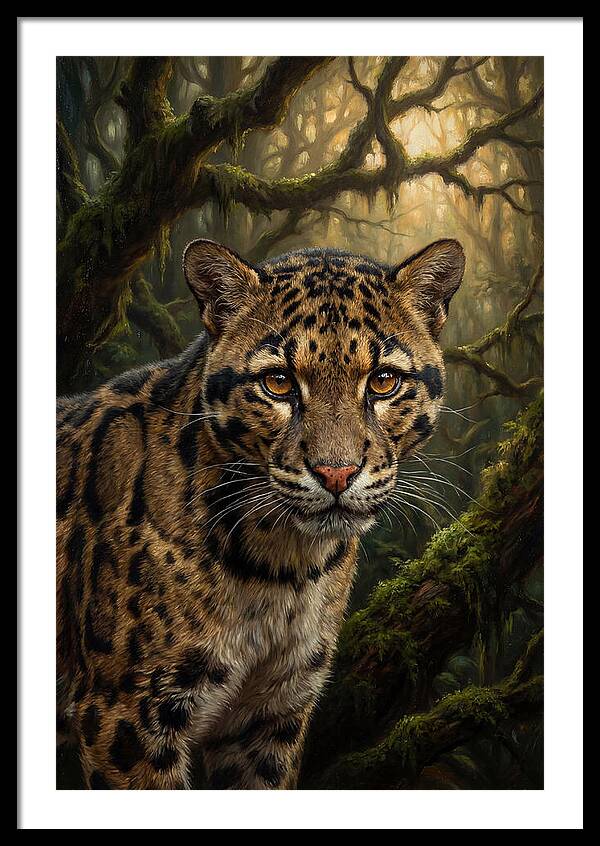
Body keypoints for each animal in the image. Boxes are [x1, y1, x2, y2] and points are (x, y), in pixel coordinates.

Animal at [56, 237, 465, 789]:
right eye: (278, 383)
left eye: (383, 382)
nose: (336, 473)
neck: (282, 566)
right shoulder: (127, 712)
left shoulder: (272, 713)